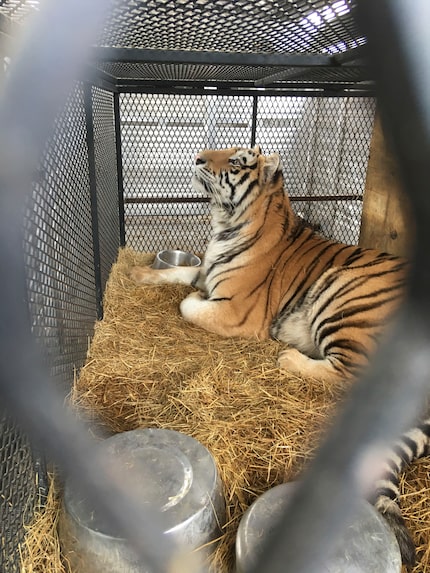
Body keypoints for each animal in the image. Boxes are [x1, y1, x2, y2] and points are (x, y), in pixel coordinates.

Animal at [131, 145, 426, 564]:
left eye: (235, 161)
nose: (199, 158)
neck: (225, 226)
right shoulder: (204, 271)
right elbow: (179, 272)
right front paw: (140, 275)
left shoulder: (237, 312)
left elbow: (188, 305)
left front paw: (189, 298)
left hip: (342, 289)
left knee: (353, 372)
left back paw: (288, 357)